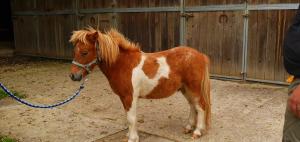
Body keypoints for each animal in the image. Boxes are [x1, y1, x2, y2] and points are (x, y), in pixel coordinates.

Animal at [69, 27, 212, 141]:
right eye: (74, 51)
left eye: (84, 52)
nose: (73, 76)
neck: (123, 65)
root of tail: (200, 55)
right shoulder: (123, 97)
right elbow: (127, 116)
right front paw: (129, 135)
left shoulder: (129, 97)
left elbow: (131, 118)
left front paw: (132, 138)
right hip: (185, 89)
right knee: (192, 105)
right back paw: (188, 127)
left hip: (194, 88)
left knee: (200, 107)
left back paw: (197, 132)